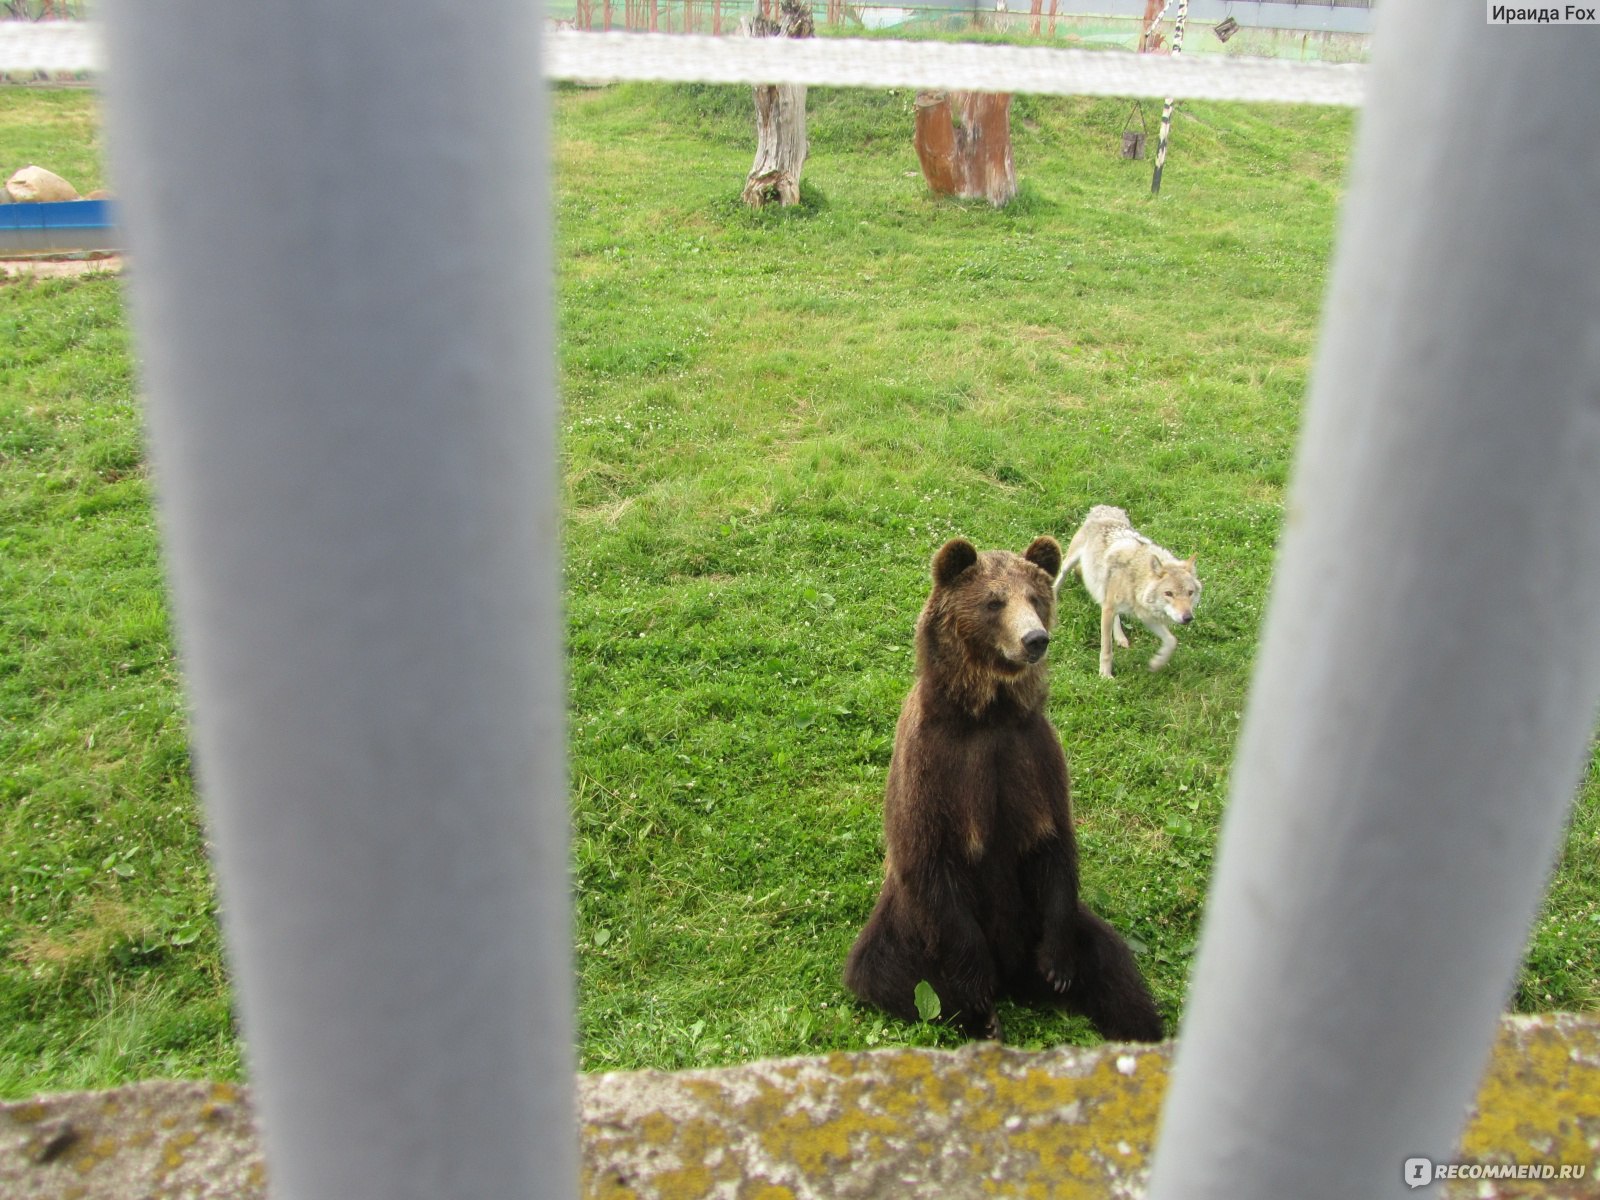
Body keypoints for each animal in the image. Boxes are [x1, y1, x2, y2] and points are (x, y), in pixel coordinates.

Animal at [838, 534, 1164, 1043]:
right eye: (994, 601)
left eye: (1035, 598)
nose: (1035, 639)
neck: (989, 713)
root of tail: (1019, 982)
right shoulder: (936, 765)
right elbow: (928, 855)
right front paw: (977, 986)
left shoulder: (1031, 756)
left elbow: (1055, 842)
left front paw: (1059, 969)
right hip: (906, 930)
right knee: (890, 974)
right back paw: (985, 1018)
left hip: (1047, 920)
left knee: (1112, 964)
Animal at [1049, 502, 1203, 681]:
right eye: (1169, 593)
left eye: (1190, 593)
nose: (1188, 618)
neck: (1135, 578)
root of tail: (1105, 508)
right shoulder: (1109, 608)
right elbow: (1106, 649)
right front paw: (1105, 675)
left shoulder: (1145, 616)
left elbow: (1172, 641)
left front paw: (1157, 663)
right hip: (1070, 563)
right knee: (1060, 577)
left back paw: (1120, 637)